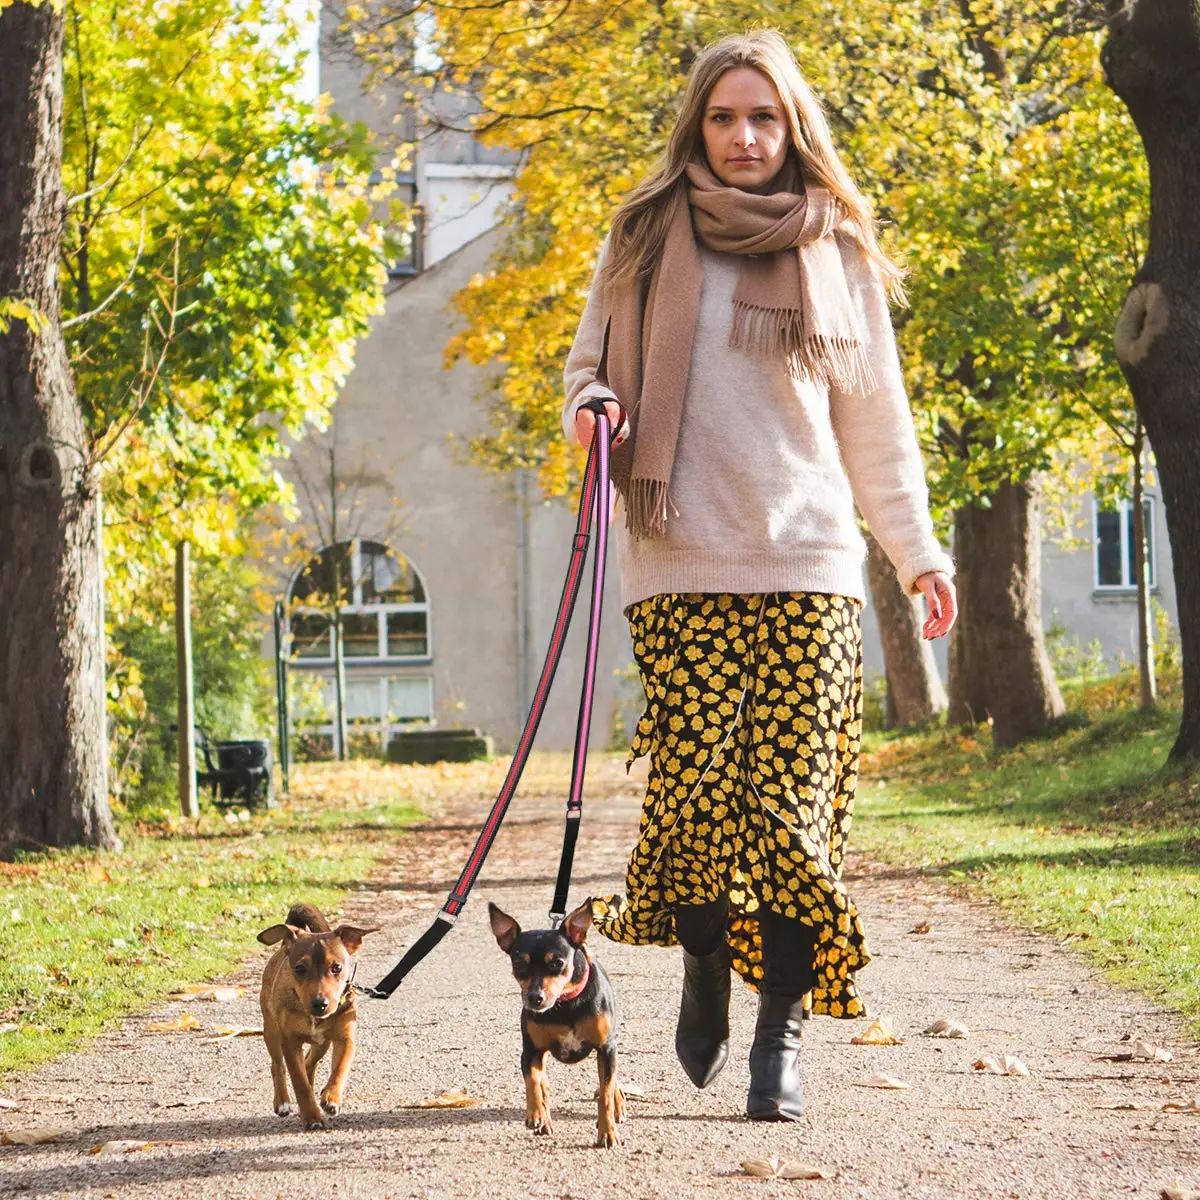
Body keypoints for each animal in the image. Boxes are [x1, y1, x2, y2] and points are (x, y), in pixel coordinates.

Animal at [258, 902, 379, 1128]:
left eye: (337, 967)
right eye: (299, 968)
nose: (319, 1004)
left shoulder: (345, 1038)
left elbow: (340, 1069)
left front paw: (331, 1098)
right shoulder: (290, 1042)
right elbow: (300, 1083)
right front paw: (312, 1117)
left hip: (322, 1044)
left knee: (309, 1062)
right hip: (271, 1029)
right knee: (277, 1065)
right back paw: (282, 1102)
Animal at [487, 902, 628, 1142]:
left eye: (557, 963)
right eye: (518, 964)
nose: (535, 997)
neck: (566, 1005)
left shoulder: (606, 1048)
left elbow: (605, 1093)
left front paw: (607, 1132)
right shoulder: (531, 1051)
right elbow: (532, 1081)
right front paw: (537, 1114)